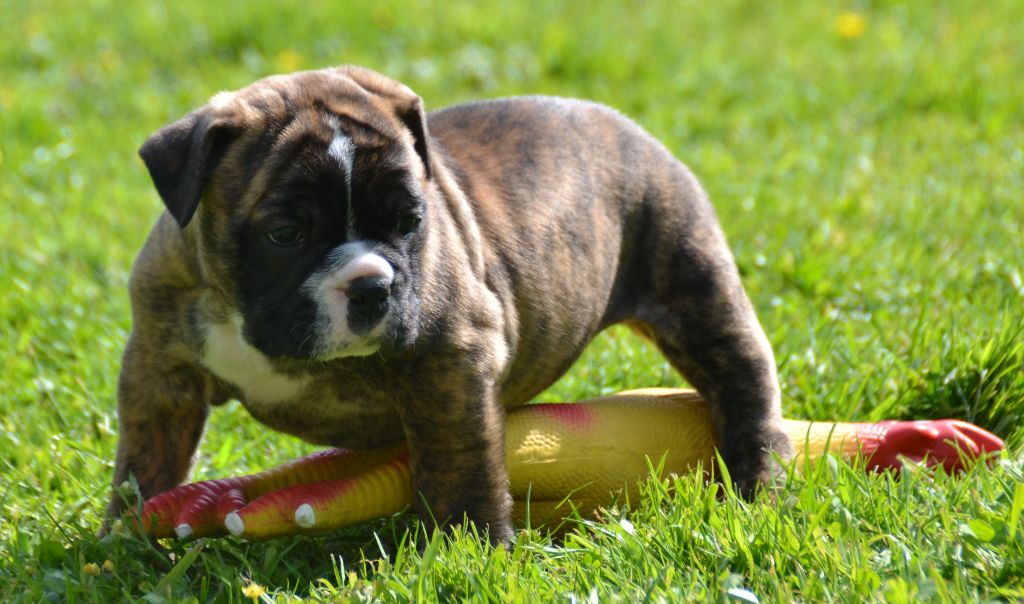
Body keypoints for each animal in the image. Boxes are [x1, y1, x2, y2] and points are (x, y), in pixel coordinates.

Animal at [107, 65, 792, 545]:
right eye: (284, 234)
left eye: (411, 222)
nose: (373, 285)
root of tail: (629, 128)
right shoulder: (160, 372)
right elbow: (145, 457)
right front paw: (126, 537)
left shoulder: (450, 361)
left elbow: (459, 458)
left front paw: (472, 545)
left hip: (695, 291)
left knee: (745, 382)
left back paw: (760, 481)